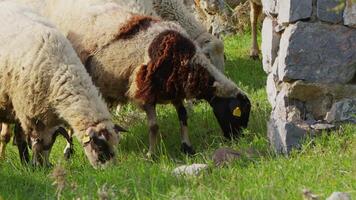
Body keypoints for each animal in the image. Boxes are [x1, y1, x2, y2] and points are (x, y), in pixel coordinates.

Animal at [0, 1, 126, 167]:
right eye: (99, 147)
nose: (111, 170)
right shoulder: (26, 113)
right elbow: (29, 141)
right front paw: (29, 164)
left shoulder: (44, 121)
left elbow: (42, 144)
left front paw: (39, 165)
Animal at [16, 0, 250, 156]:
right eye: (238, 114)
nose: (238, 139)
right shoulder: (145, 89)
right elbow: (154, 125)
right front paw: (152, 154)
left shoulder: (171, 90)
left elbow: (183, 116)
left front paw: (187, 146)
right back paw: (69, 148)